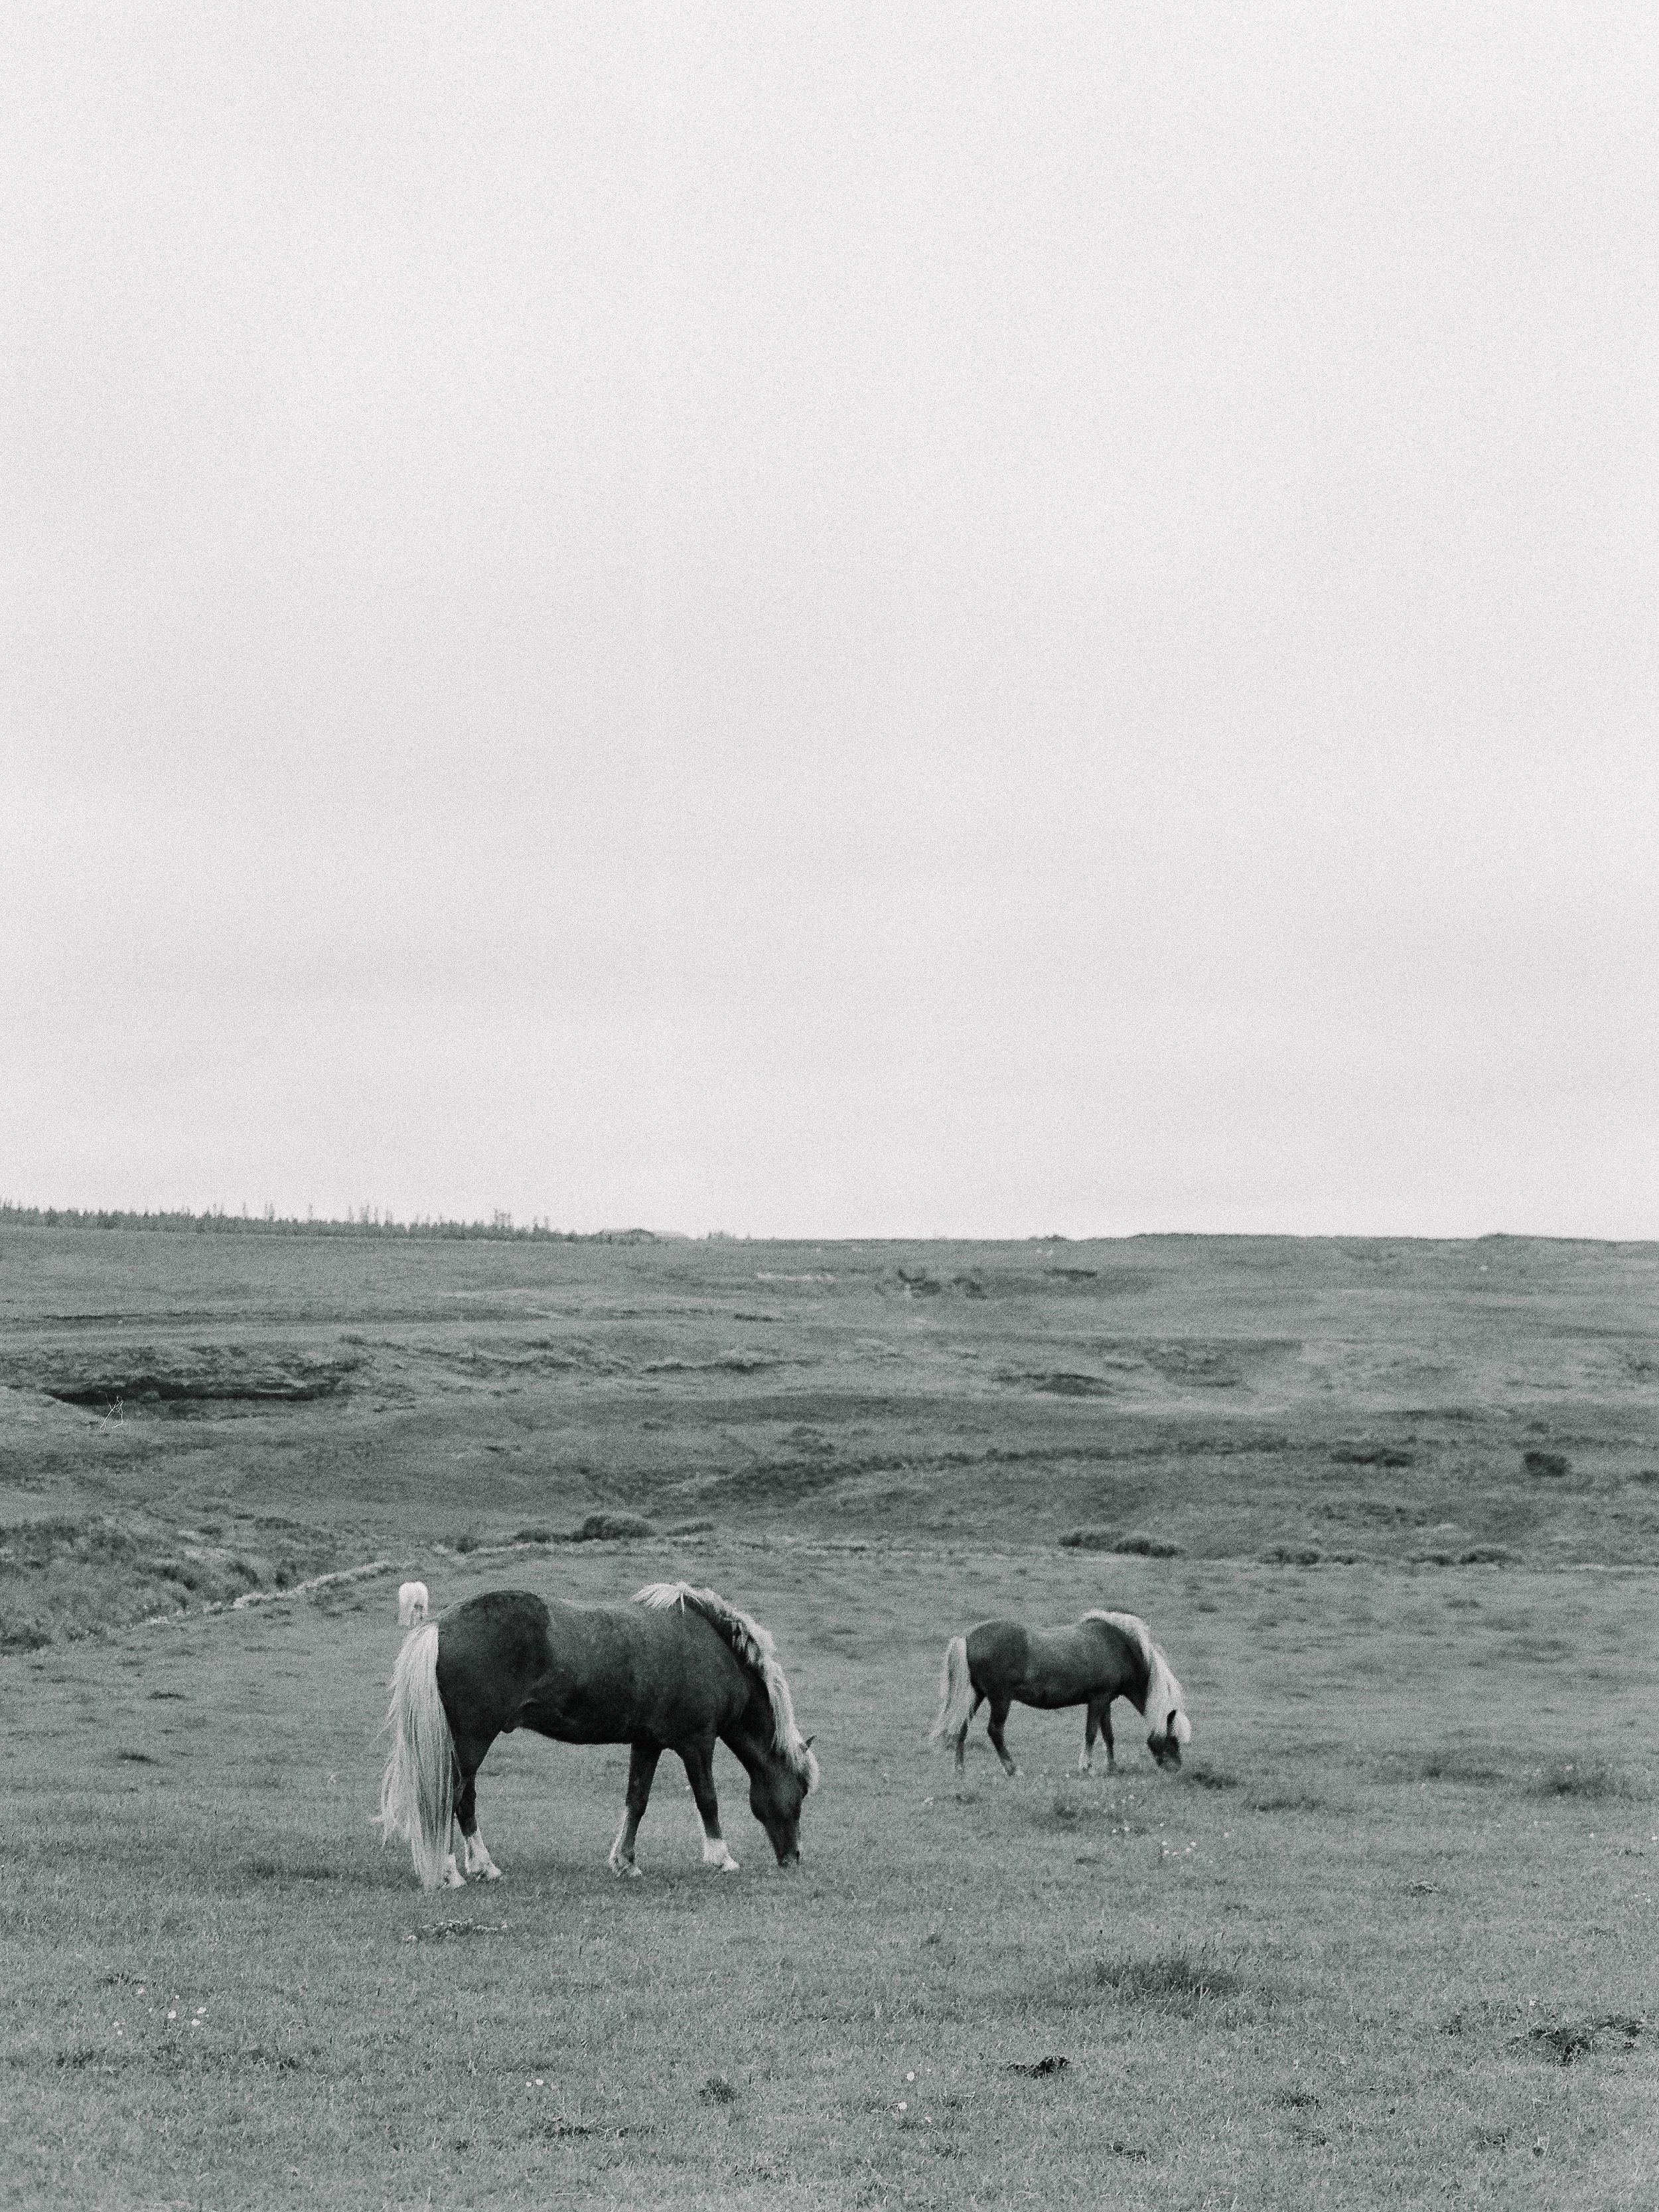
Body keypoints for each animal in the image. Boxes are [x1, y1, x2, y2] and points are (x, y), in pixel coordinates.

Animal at [376, 1584, 818, 1893]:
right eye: (798, 1795)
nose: (794, 1858)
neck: (711, 1650)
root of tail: (439, 1627)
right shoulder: (696, 1744)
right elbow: (707, 1800)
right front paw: (721, 1859)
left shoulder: (648, 1744)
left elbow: (637, 1801)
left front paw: (626, 1862)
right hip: (471, 1742)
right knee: (452, 1796)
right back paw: (455, 1873)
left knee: (462, 1801)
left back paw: (483, 1867)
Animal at [938, 1610, 1194, 1778]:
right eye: (1173, 1738)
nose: (1176, 1767)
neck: (1119, 1647)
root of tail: (968, 1638)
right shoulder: (1097, 1700)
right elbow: (1091, 1733)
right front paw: (1087, 1767)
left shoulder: (1106, 1702)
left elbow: (1108, 1735)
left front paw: (1112, 1767)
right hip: (1001, 1700)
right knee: (995, 1731)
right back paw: (1013, 1769)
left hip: (976, 1695)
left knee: (962, 1726)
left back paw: (960, 1769)